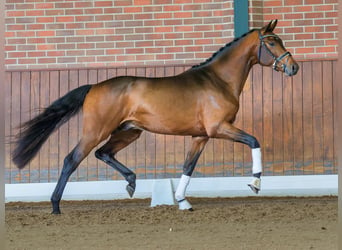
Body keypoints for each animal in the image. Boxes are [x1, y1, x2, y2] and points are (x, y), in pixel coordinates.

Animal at [12, 20, 298, 214]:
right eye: (271, 42)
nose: (293, 67)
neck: (218, 80)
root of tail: (94, 86)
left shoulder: (201, 136)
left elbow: (188, 167)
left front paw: (182, 201)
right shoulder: (219, 128)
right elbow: (254, 141)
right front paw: (255, 183)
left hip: (129, 132)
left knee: (103, 154)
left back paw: (131, 183)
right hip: (96, 131)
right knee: (72, 159)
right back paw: (55, 206)